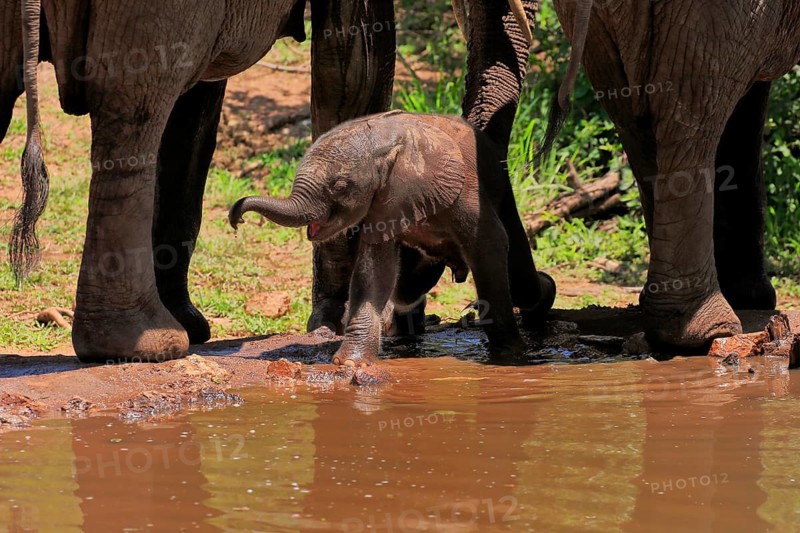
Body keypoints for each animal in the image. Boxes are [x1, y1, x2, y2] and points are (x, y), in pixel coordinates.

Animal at [229, 110, 557, 365]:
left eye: (340, 186)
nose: (236, 218)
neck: (389, 140)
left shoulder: (466, 192)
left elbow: (488, 246)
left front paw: (509, 356)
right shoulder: (383, 201)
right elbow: (375, 270)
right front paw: (349, 363)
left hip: (502, 190)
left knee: (520, 282)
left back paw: (545, 294)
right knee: (409, 287)